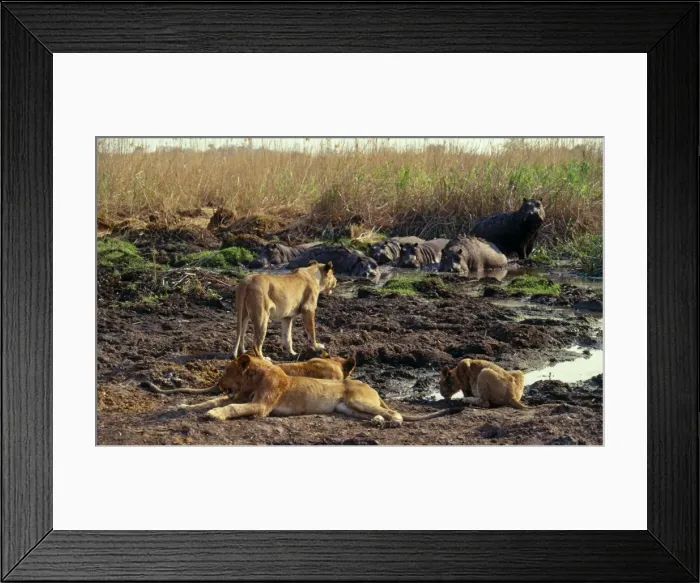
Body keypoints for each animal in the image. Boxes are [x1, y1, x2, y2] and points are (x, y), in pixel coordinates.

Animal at [178, 354, 461, 426]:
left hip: (359, 401)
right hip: (348, 409)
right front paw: (184, 406)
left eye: (226, 371)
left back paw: (391, 422)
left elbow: (231, 406)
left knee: (396, 413)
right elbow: (211, 401)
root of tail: (370, 385)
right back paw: (378, 421)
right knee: (378, 413)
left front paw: (215, 415)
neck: (252, 380)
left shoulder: (261, 407)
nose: (219, 383)